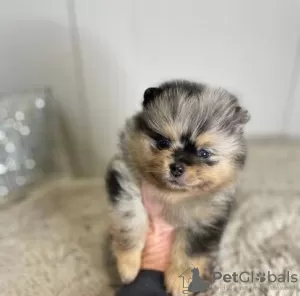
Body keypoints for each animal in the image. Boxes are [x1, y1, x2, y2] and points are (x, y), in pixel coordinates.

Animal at [106, 80, 250, 294]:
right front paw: (128, 266)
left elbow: (190, 250)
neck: (172, 194)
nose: (177, 167)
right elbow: (130, 220)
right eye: (163, 142)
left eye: (204, 153)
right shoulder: (125, 181)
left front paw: (180, 279)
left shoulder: (205, 217)